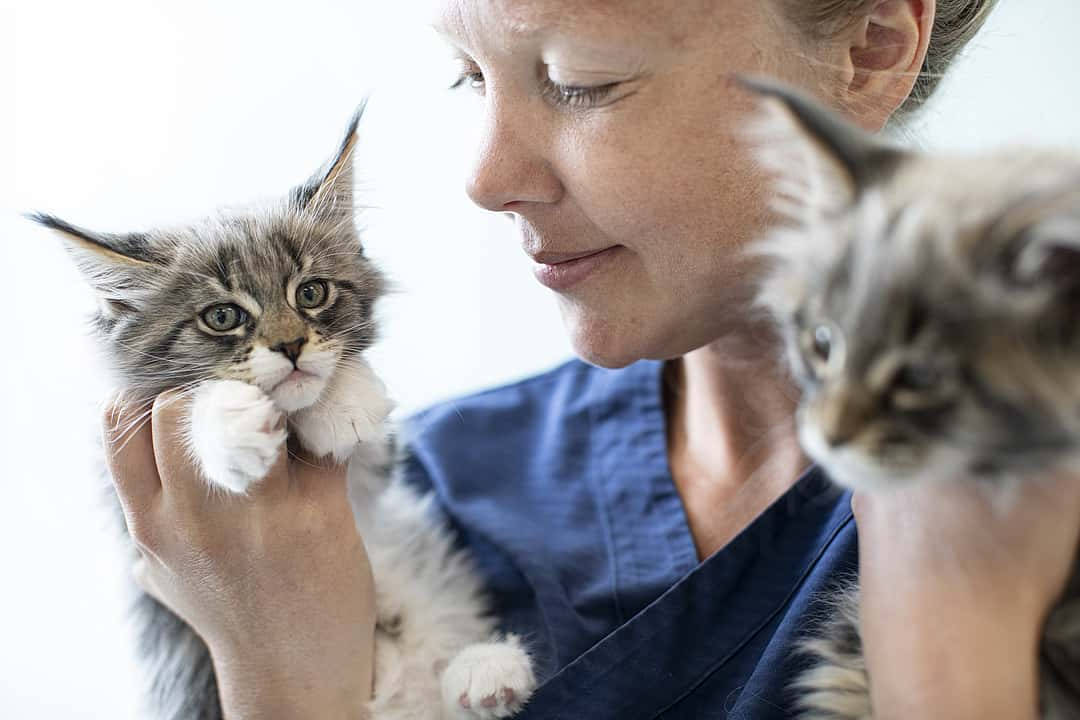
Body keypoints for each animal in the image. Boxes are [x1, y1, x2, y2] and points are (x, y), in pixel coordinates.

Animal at [32, 108, 535, 720]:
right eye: (222, 317)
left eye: (311, 293)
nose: (291, 346)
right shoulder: (124, 497)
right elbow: (196, 399)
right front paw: (233, 429)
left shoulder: (377, 478)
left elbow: (365, 431)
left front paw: (345, 403)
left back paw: (487, 671)